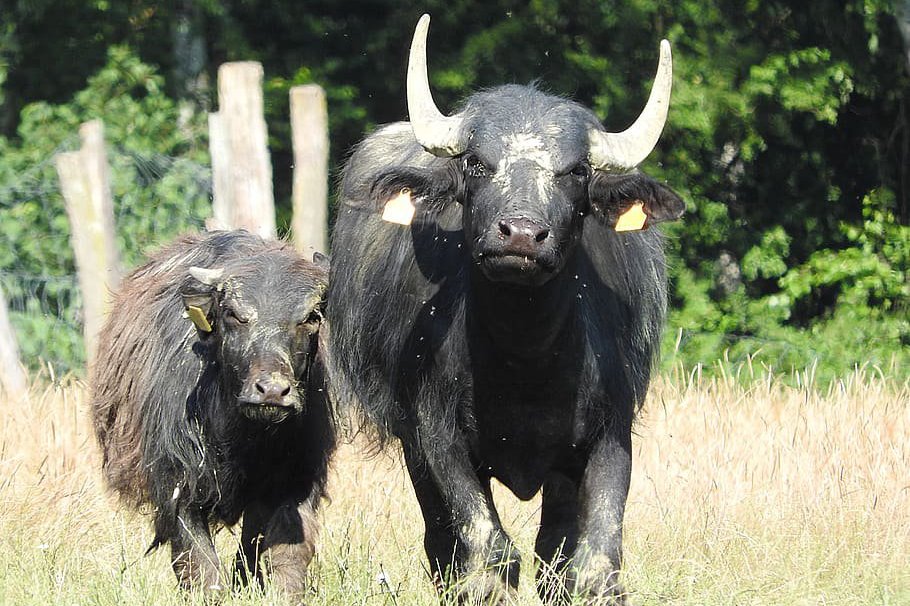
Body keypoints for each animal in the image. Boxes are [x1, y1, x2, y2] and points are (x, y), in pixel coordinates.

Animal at [90, 232, 334, 600]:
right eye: (234, 314)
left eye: (310, 317)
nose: (272, 391)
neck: (243, 438)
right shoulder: (178, 487)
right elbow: (199, 562)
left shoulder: (297, 480)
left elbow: (287, 553)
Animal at [328, 14, 684, 606]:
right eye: (476, 163)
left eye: (575, 171)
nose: (519, 234)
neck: (526, 361)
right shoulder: (437, 437)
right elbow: (486, 548)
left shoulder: (611, 435)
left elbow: (594, 560)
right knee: (442, 542)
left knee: (553, 549)